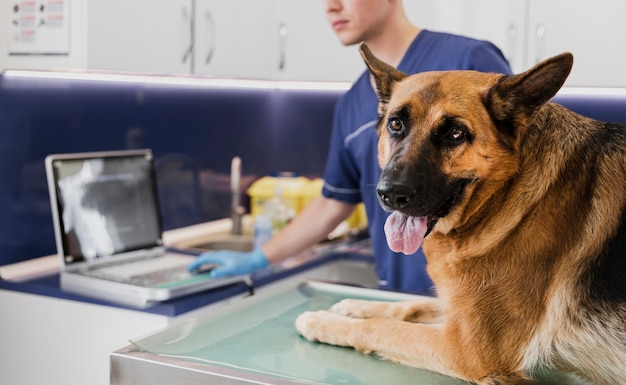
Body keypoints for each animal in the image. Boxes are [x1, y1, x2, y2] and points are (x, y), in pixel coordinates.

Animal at [294, 42, 624, 384]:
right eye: (396, 124)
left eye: (454, 133)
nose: (390, 194)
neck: (504, 193)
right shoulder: (458, 312)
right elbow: (412, 305)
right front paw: (354, 305)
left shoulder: (466, 348)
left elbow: (380, 328)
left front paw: (321, 322)